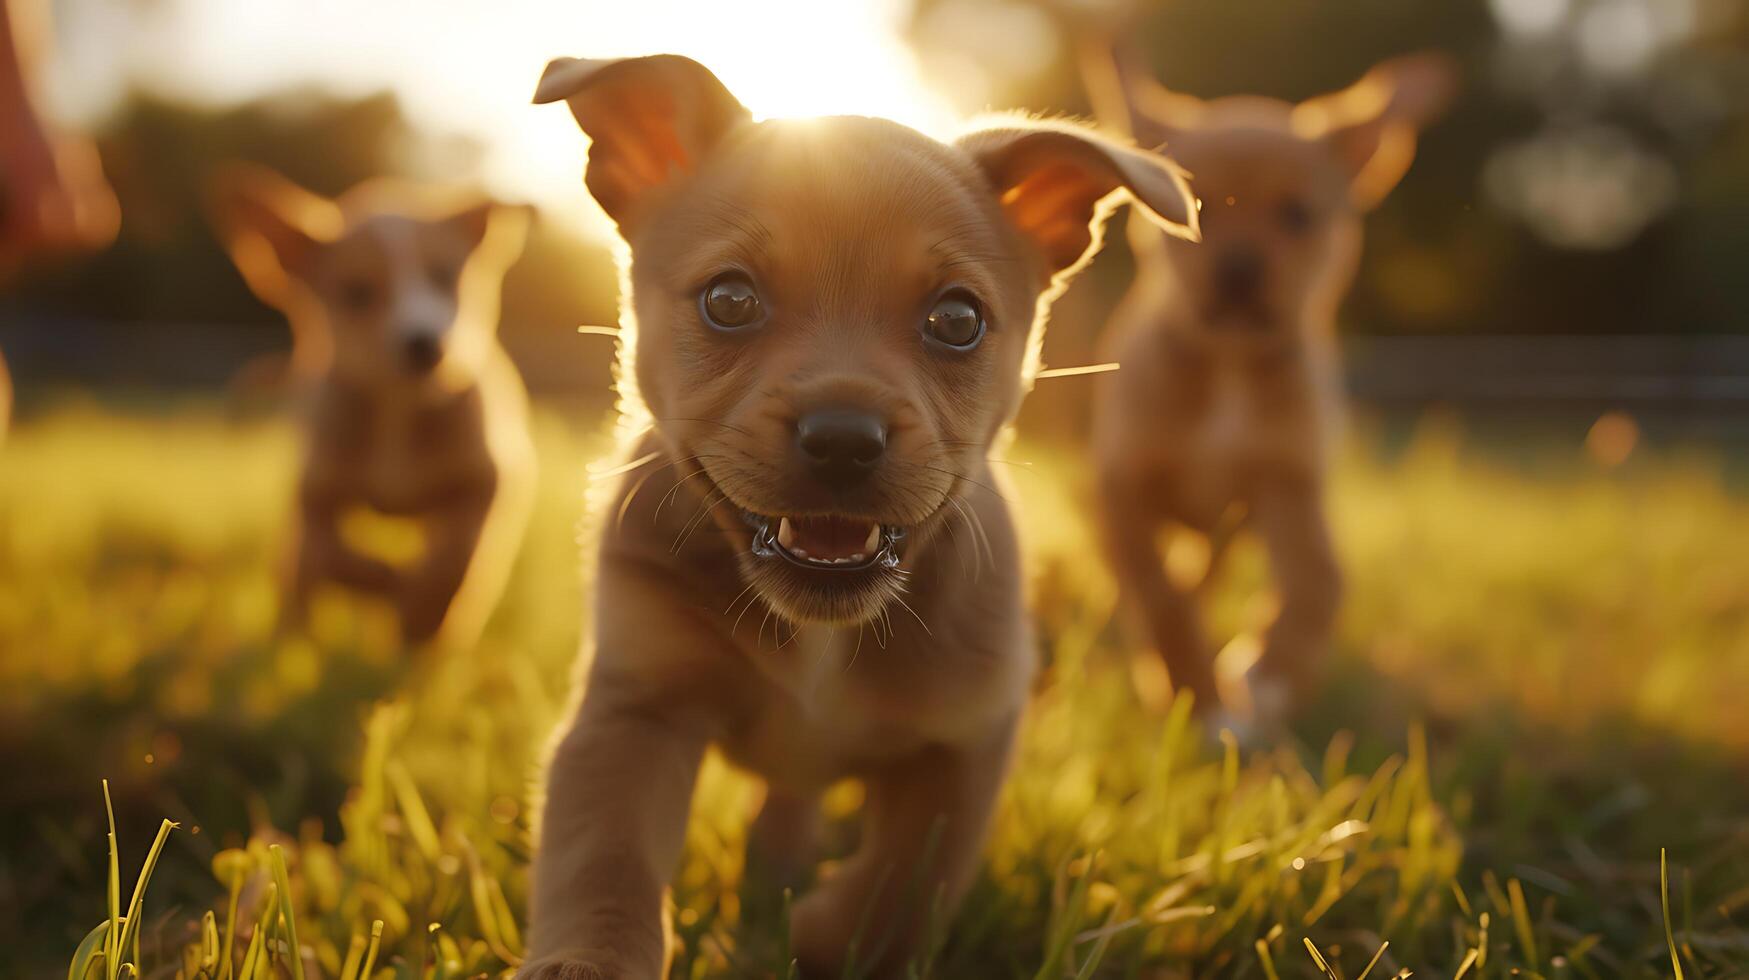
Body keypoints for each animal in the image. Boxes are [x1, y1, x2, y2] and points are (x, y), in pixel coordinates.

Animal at [214, 170, 535, 651]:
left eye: (444, 275)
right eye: (357, 293)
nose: (425, 345)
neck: (397, 409)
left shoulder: (489, 479)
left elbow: (458, 554)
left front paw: (421, 611)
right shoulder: (317, 491)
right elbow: (335, 557)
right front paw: (388, 590)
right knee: (299, 568)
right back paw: (292, 632)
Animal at [524, 55, 1196, 980]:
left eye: (957, 319)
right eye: (728, 300)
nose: (842, 439)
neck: (822, 638)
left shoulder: (964, 743)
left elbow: (904, 882)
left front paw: (812, 936)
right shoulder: (633, 711)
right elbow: (603, 858)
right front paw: (587, 960)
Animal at [1084, 42, 1455, 721]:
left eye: (1297, 215)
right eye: (1193, 208)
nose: (1238, 269)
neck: (1228, 366)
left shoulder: (1285, 485)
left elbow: (1318, 581)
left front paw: (1268, 673)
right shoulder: (1125, 487)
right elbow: (1158, 592)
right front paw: (1192, 690)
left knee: (1212, 571)